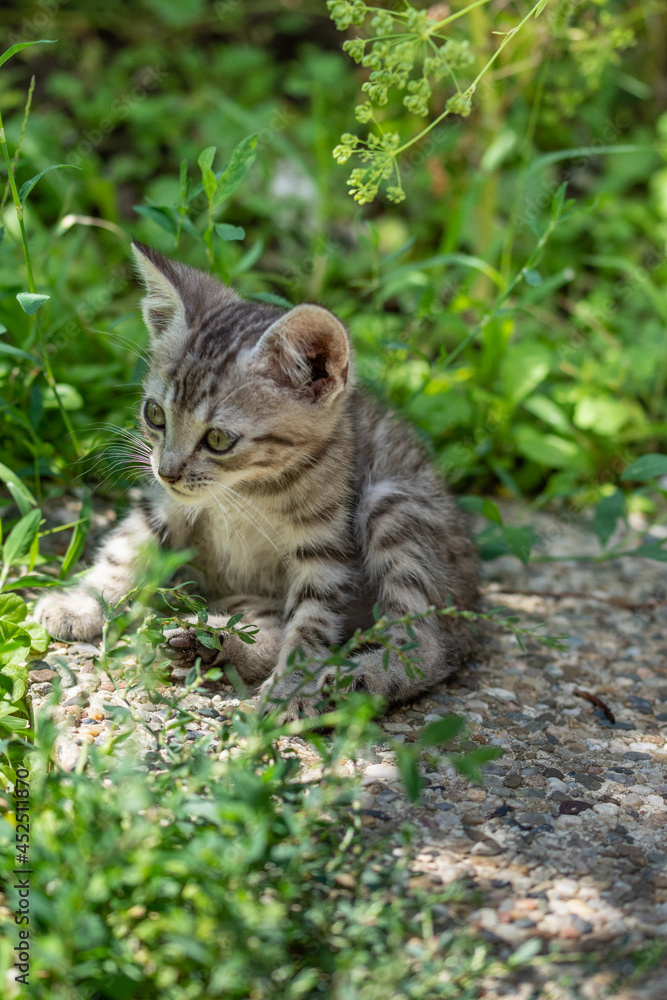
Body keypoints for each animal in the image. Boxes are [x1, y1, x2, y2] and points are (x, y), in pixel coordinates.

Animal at [34, 240, 480, 712]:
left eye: (217, 439)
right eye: (154, 414)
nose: (167, 470)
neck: (248, 490)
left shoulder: (326, 547)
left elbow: (311, 623)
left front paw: (291, 689)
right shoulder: (164, 503)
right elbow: (126, 547)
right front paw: (84, 602)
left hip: (392, 502)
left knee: (428, 646)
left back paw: (361, 678)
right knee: (268, 632)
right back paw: (210, 642)